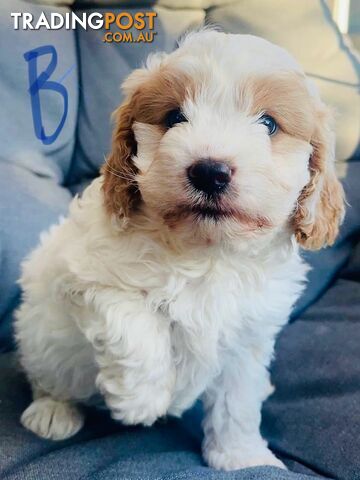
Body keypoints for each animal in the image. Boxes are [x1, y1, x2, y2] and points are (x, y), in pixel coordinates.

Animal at [15, 31, 344, 470]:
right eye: (173, 117)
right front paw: (141, 401)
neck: (207, 252)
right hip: (39, 332)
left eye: (269, 124)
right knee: (47, 375)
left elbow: (237, 402)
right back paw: (52, 410)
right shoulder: (84, 276)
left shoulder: (247, 336)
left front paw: (242, 457)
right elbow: (136, 324)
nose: (210, 171)